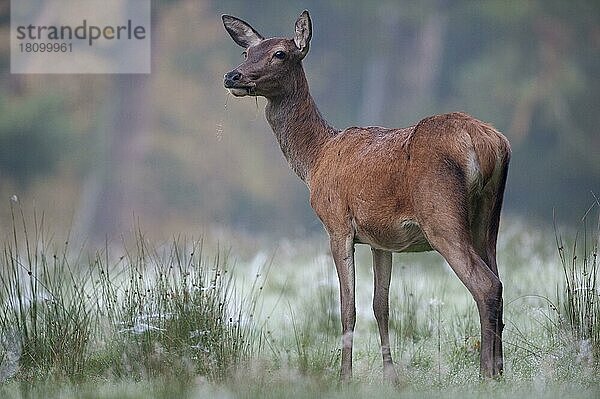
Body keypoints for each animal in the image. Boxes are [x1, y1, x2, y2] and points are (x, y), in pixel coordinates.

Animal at [223, 10, 508, 382]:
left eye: (280, 54)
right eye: (246, 52)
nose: (232, 75)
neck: (315, 160)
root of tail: (488, 143)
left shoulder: (337, 224)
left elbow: (348, 307)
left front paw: (344, 376)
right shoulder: (380, 239)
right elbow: (380, 306)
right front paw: (391, 376)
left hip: (441, 216)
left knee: (485, 285)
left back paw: (486, 373)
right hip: (488, 221)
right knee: (499, 282)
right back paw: (500, 370)